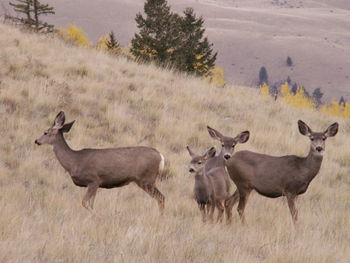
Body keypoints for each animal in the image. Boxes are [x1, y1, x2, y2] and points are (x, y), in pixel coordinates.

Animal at [34, 111, 165, 217]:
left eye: (45, 132)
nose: (36, 141)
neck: (74, 162)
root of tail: (160, 156)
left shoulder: (94, 180)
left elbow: (85, 203)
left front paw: (99, 217)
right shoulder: (95, 184)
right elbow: (91, 204)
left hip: (146, 179)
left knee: (161, 198)